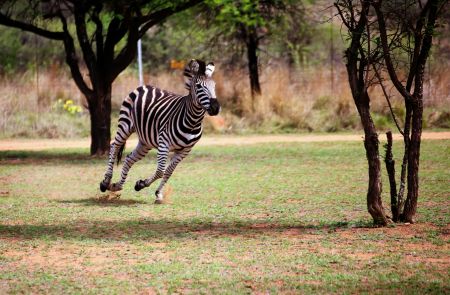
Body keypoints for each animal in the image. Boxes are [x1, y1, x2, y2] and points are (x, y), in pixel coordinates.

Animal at [101, 59, 222, 205]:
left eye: (214, 86)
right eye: (199, 86)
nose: (215, 108)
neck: (193, 122)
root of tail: (144, 86)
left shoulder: (185, 150)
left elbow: (168, 172)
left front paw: (157, 193)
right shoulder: (164, 143)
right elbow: (160, 171)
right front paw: (142, 184)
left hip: (145, 141)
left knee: (129, 158)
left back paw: (116, 186)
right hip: (125, 125)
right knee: (114, 146)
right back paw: (106, 182)